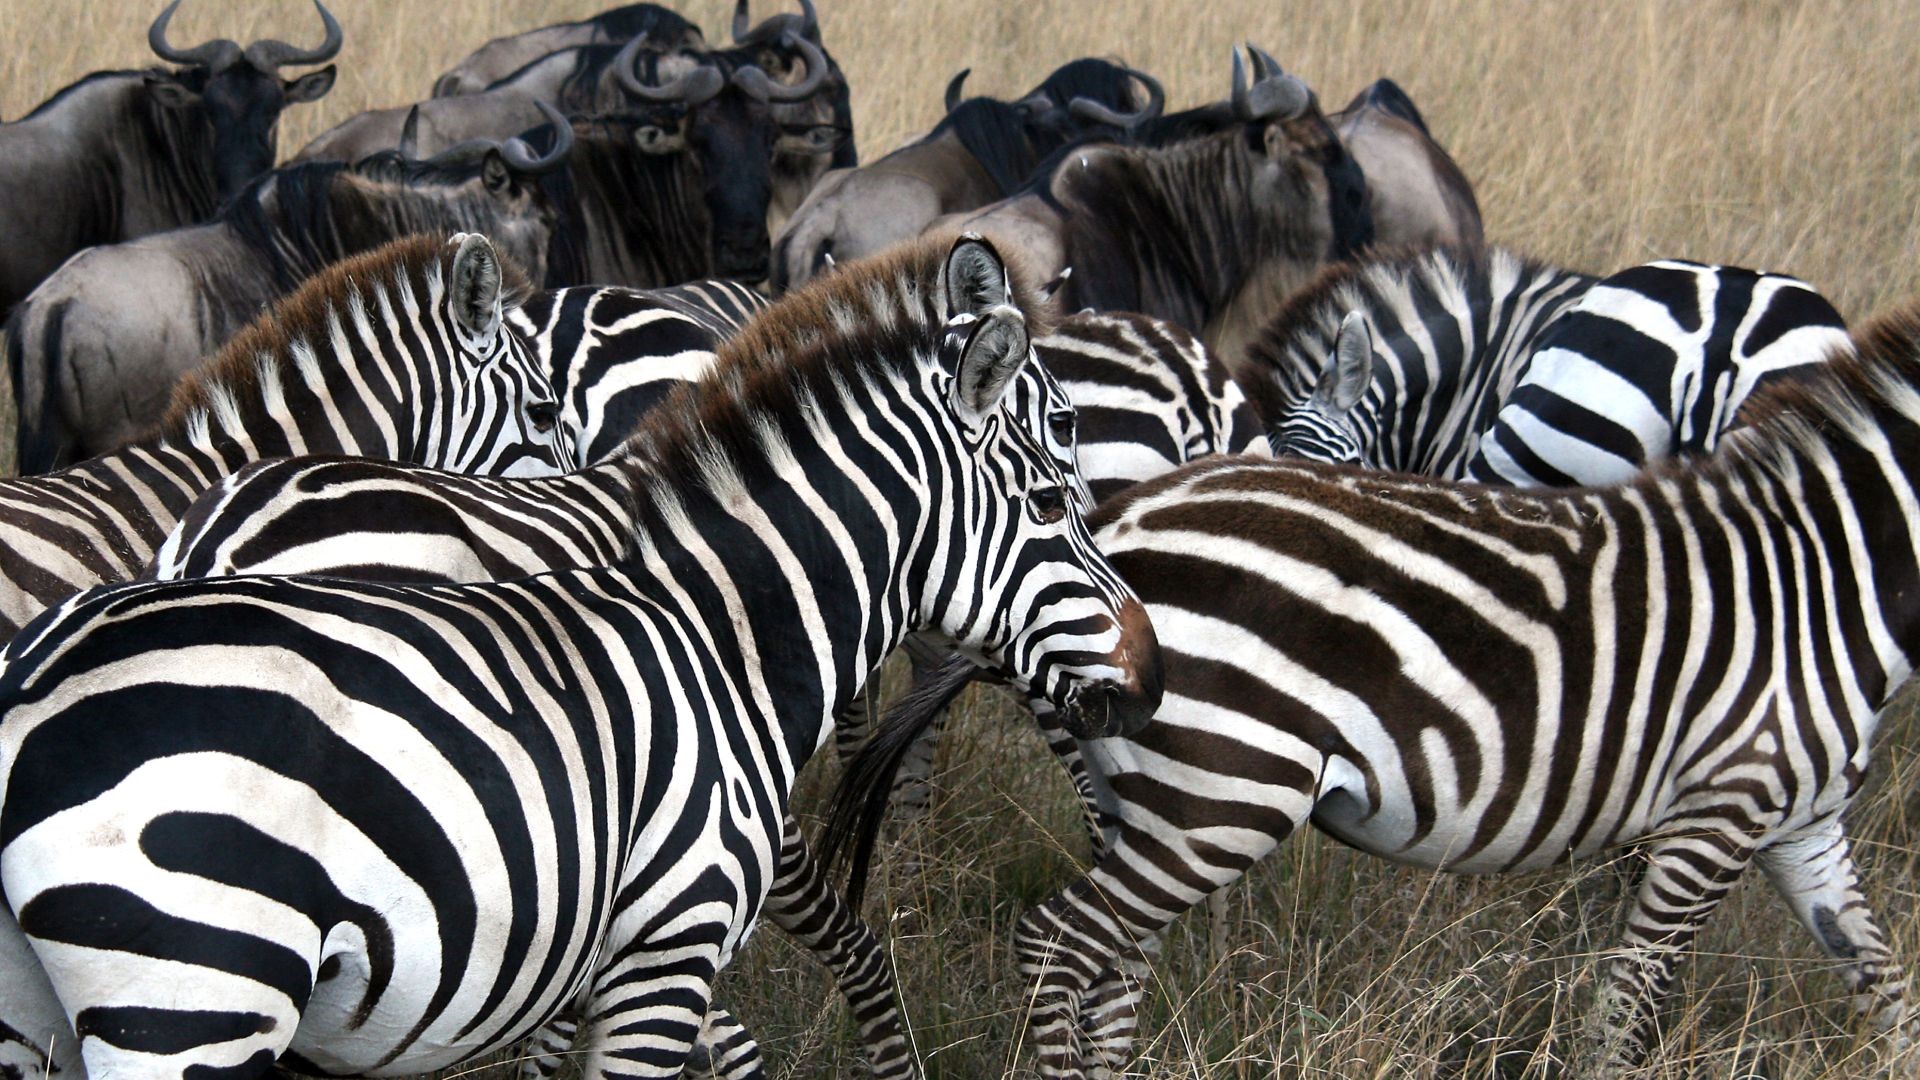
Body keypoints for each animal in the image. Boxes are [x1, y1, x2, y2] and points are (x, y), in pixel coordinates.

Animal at [830, 301, 1920, 1076]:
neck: (1830, 574)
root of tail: (1118, 522)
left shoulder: (1802, 823)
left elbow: (1888, 989)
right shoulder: (1715, 814)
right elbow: (1623, 1011)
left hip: (1154, 794)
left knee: (1113, 966)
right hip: (1229, 791)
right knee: (1061, 946)